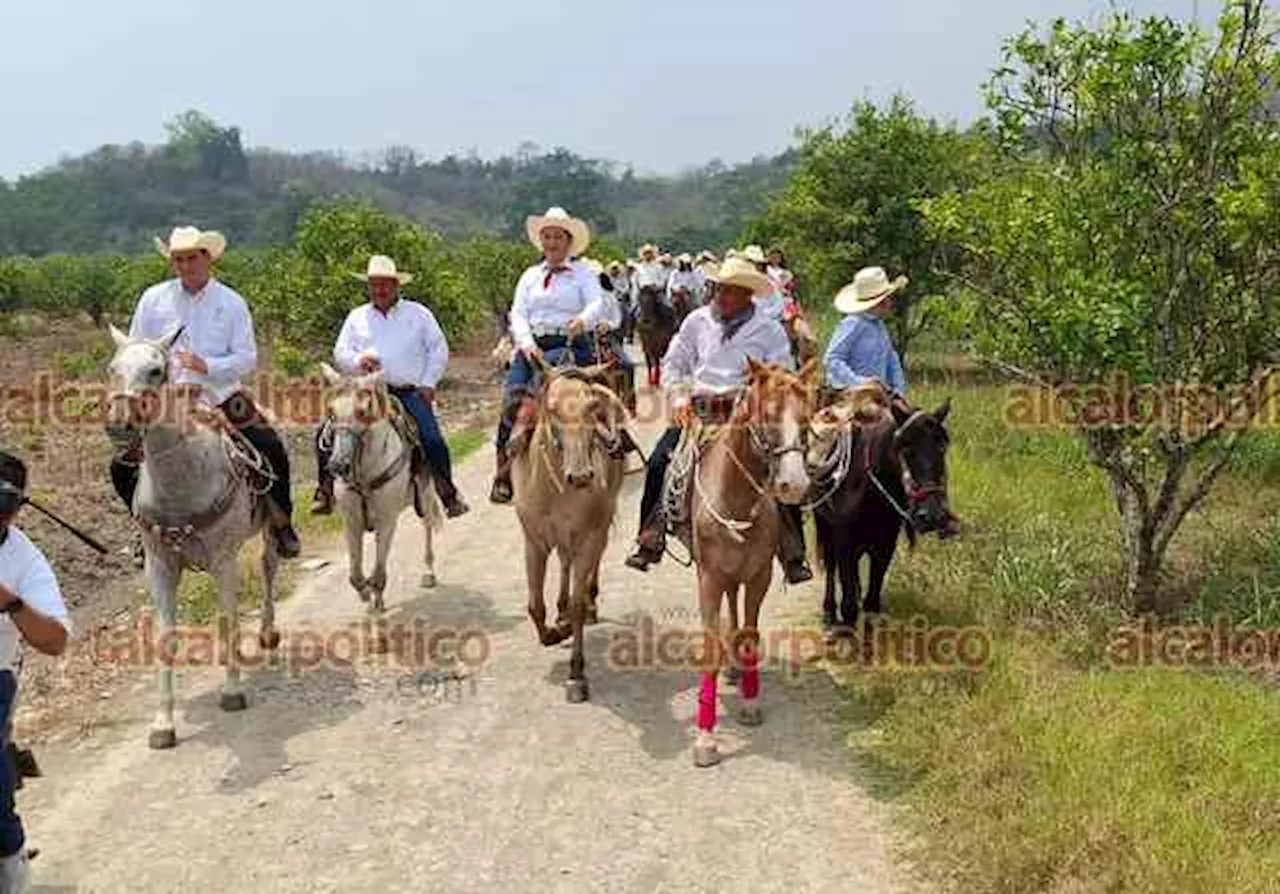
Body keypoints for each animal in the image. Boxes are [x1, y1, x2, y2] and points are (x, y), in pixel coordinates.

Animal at [509, 358, 629, 701]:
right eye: (551, 409)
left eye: (591, 407)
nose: (581, 476)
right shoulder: (534, 542)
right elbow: (535, 605)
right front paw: (552, 631)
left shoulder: (589, 537)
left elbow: (576, 605)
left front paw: (577, 674)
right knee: (564, 562)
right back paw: (560, 612)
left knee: (589, 567)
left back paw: (590, 603)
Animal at [803, 386, 957, 637]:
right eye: (905, 445)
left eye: (942, 445)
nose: (932, 515)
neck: (869, 488)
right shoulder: (844, 540)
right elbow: (849, 605)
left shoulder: (885, 545)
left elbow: (871, 602)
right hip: (824, 523)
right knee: (831, 564)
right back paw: (828, 614)